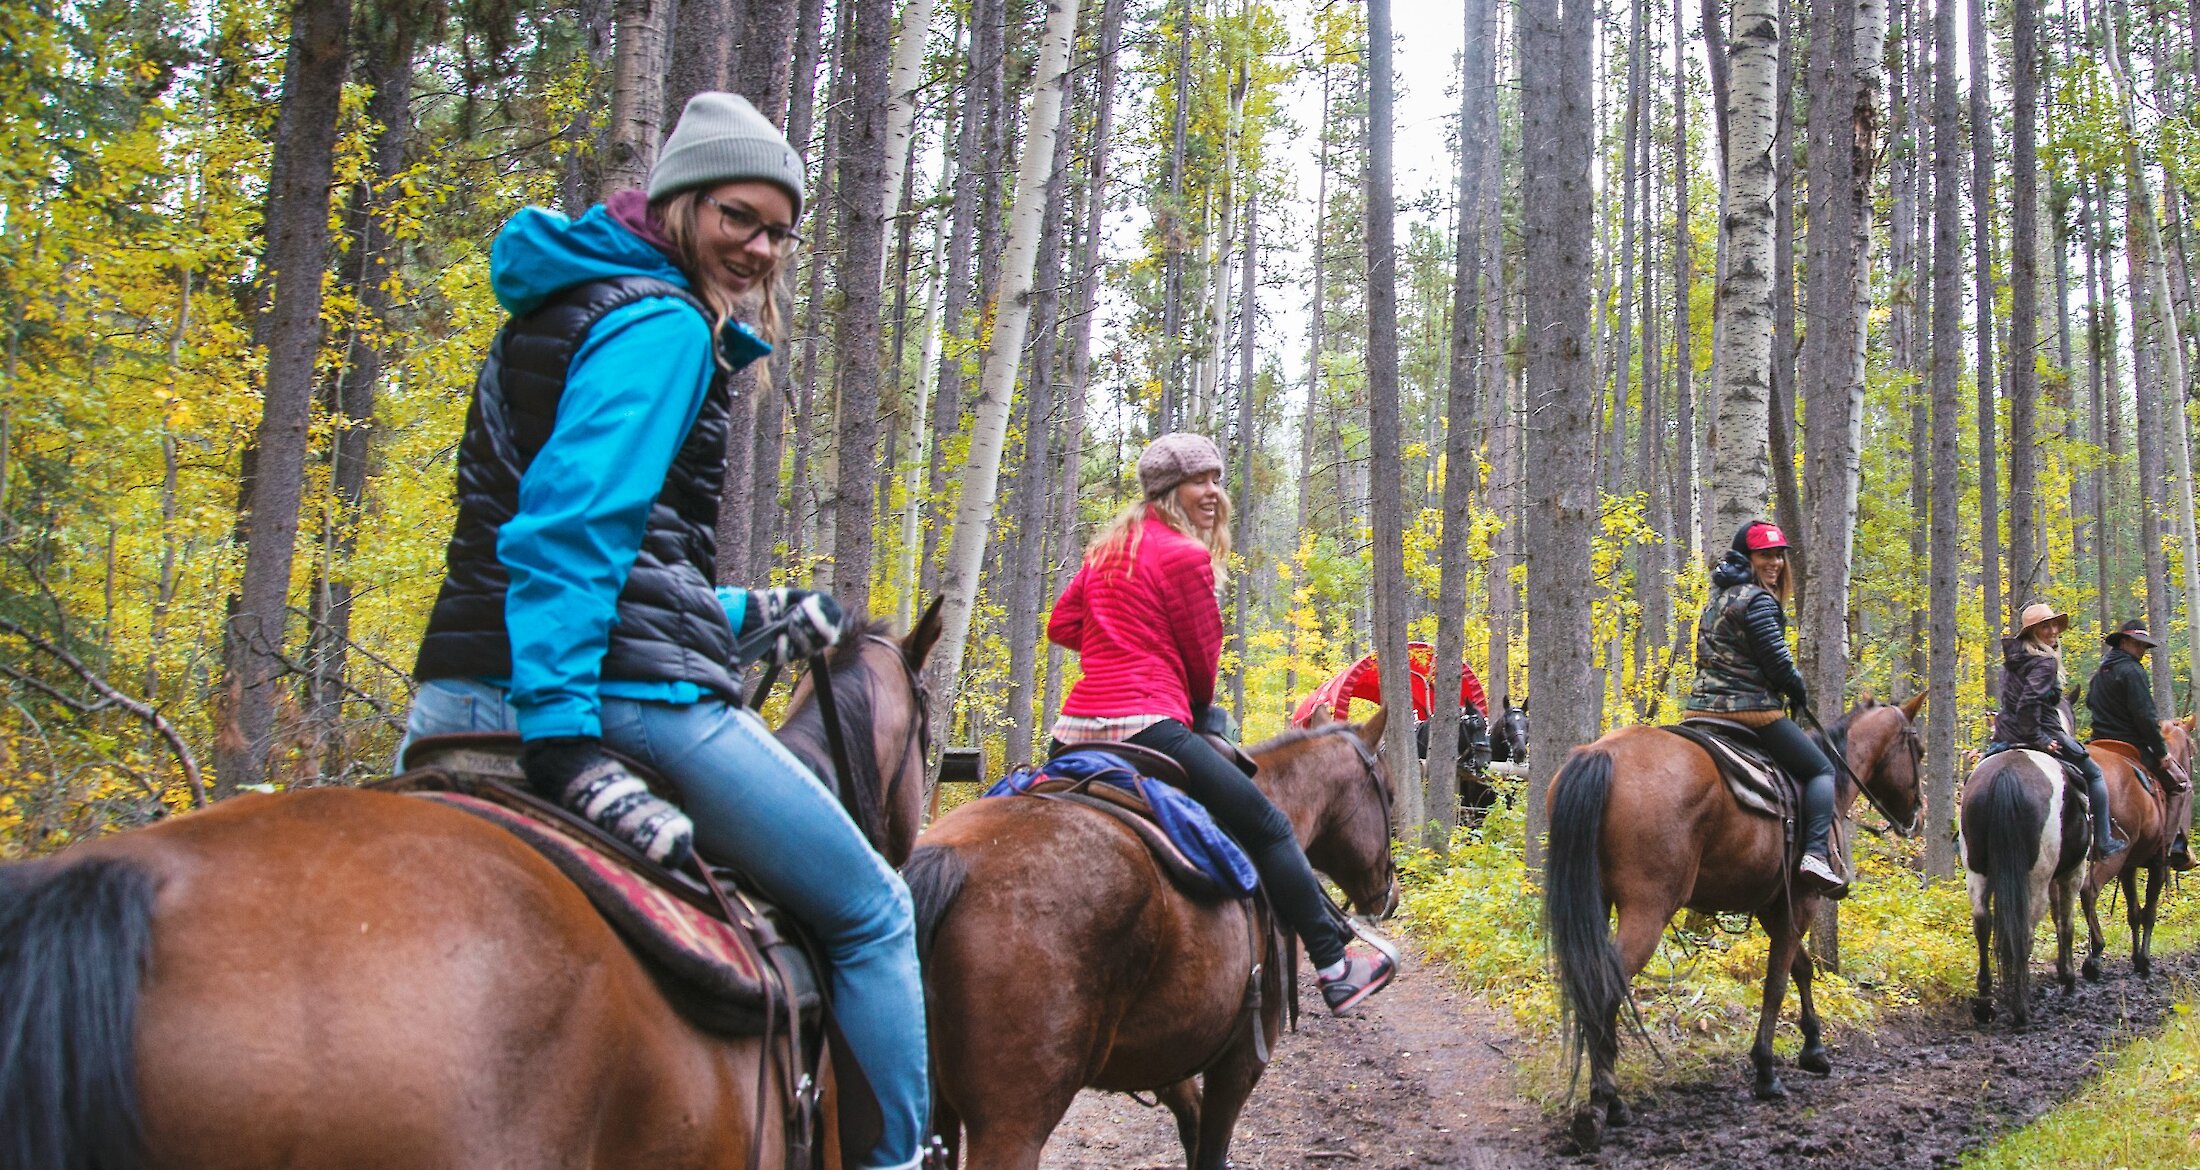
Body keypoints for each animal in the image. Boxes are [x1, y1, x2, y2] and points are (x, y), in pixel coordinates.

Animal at [906, 712, 1390, 1170]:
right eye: (1386, 791)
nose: (1390, 895)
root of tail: (955, 859)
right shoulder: (1239, 1060)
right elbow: (1210, 1148)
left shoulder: (1172, 1047)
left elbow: (1192, 1125)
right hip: (1013, 1120)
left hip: (939, 1113)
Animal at [1540, 694, 1918, 1152]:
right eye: (1917, 749)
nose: (1916, 816)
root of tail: (1600, 755)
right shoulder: (1801, 902)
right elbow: (1776, 984)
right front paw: (1767, 1072)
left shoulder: (1774, 906)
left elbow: (1801, 969)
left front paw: (1813, 1049)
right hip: (1648, 909)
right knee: (1605, 988)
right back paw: (1604, 1103)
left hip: (1597, 898)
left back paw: (1605, 1101)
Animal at [2076, 716, 2200, 980]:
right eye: (2193, 750)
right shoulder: (2158, 863)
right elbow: (2149, 912)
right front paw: (2144, 961)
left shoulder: (2129, 866)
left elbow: (2133, 913)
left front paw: (2135, 958)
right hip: (2112, 855)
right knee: (2088, 890)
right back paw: (2094, 955)